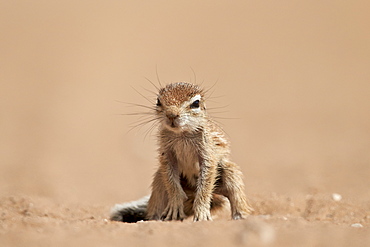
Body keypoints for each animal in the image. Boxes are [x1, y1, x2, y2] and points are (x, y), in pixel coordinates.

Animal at [110, 82, 253, 222]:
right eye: (158, 101)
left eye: (196, 103)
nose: (171, 115)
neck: (182, 134)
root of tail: (191, 192)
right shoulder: (167, 153)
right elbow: (172, 184)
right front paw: (175, 206)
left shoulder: (207, 152)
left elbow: (206, 183)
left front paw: (201, 213)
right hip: (159, 179)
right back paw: (155, 219)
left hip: (229, 173)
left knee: (235, 194)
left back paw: (240, 216)